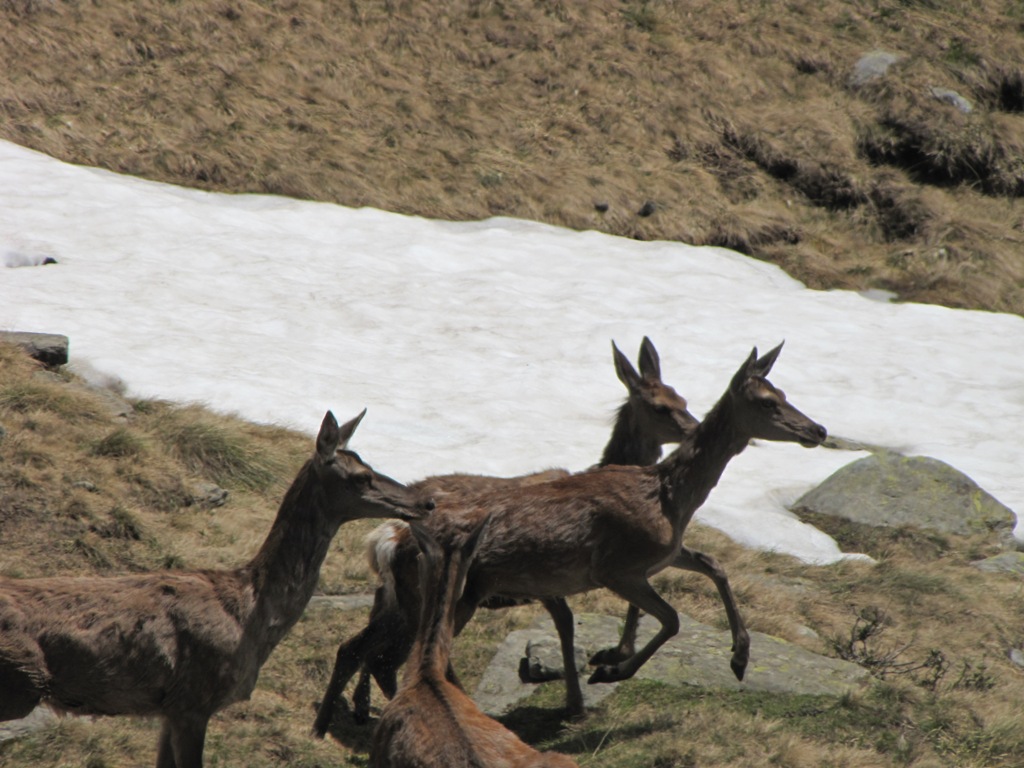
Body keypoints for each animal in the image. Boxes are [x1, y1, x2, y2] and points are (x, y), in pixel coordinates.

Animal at [0, 411, 432, 768]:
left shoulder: (169, 710)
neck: (254, 613)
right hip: (17, 683)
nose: (424, 501)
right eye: (361, 476)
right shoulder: (195, 699)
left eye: (370, 463)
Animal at [307, 337, 700, 733]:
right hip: (416, 598)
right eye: (660, 406)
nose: (694, 430)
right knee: (384, 654)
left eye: (682, 398)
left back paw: (355, 710)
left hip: (393, 598)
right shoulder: (552, 579)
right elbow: (567, 626)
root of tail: (383, 539)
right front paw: (578, 700)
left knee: (359, 647)